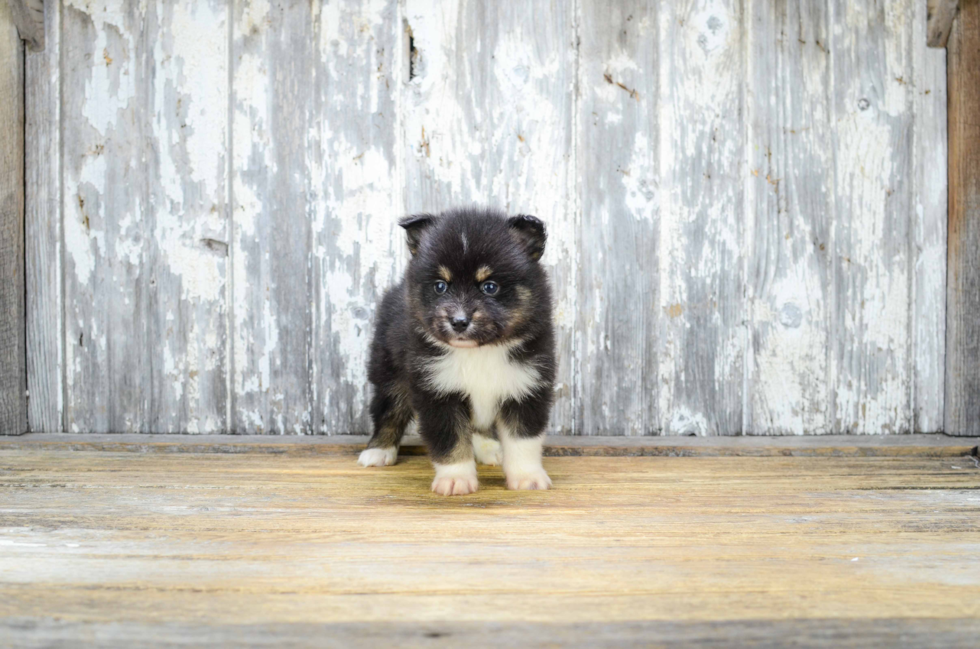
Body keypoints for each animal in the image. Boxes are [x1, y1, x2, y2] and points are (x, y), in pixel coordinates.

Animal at [360, 208, 560, 496]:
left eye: (490, 286)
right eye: (440, 286)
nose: (459, 321)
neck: (480, 351)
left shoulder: (526, 385)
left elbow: (523, 439)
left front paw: (527, 478)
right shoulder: (437, 390)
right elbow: (451, 438)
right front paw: (455, 479)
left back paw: (489, 449)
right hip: (389, 370)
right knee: (388, 411)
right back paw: (378, 451)